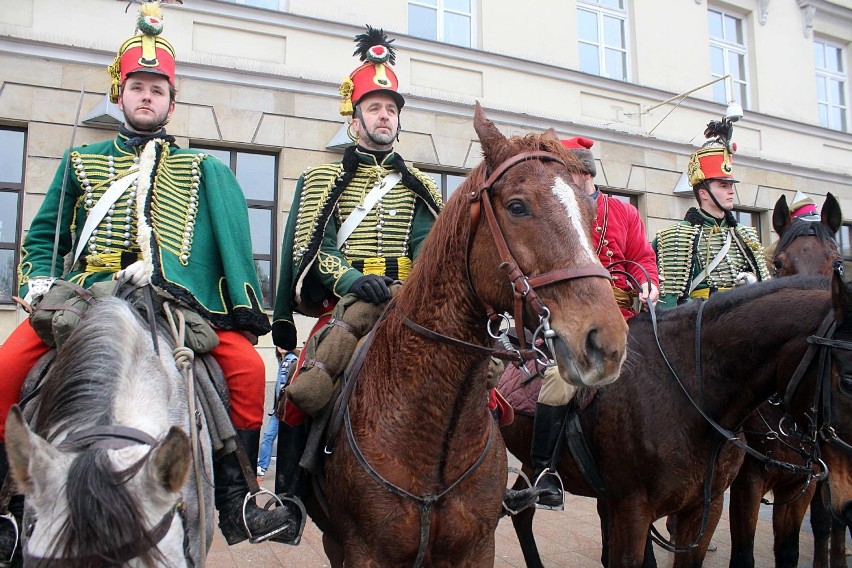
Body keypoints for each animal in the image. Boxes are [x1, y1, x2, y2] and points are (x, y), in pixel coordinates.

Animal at [306, 103, 624, 568]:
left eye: (589, 209)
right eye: (517, 206)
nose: (607, 342)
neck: (435, 429)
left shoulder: (476, 548)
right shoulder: (366, 552)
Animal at [724, 192, 852, 568]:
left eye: (838, 263)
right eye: (779, 264)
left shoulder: (803, 482)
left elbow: (791, 548)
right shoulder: (748, 480)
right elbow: (743, 554)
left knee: (829, 520)